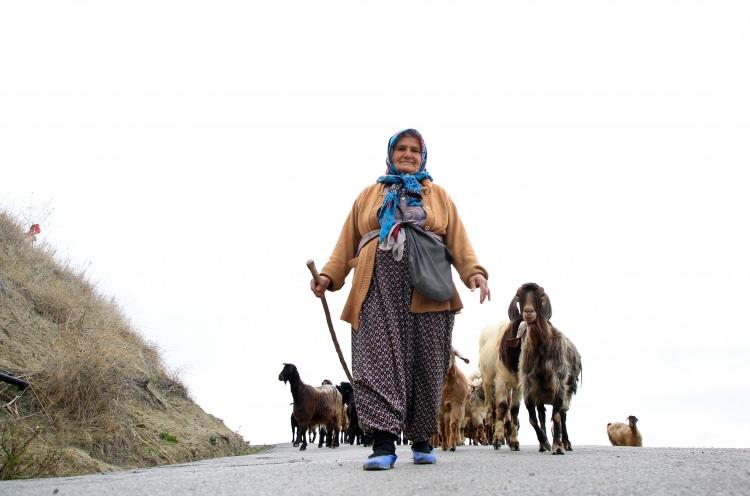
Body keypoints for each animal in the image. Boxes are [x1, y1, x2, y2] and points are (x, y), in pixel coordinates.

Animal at [516, 282, 584, 454]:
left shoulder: (558, 385)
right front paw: (545, 442)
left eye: (541, 295)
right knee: (542, 416)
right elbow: (533, 419)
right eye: (518, 295)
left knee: (563, 416)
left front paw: (558, 446)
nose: (528, 312)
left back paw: (566, 443)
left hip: (567, 390)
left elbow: (557, 417)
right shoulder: (529, 387)